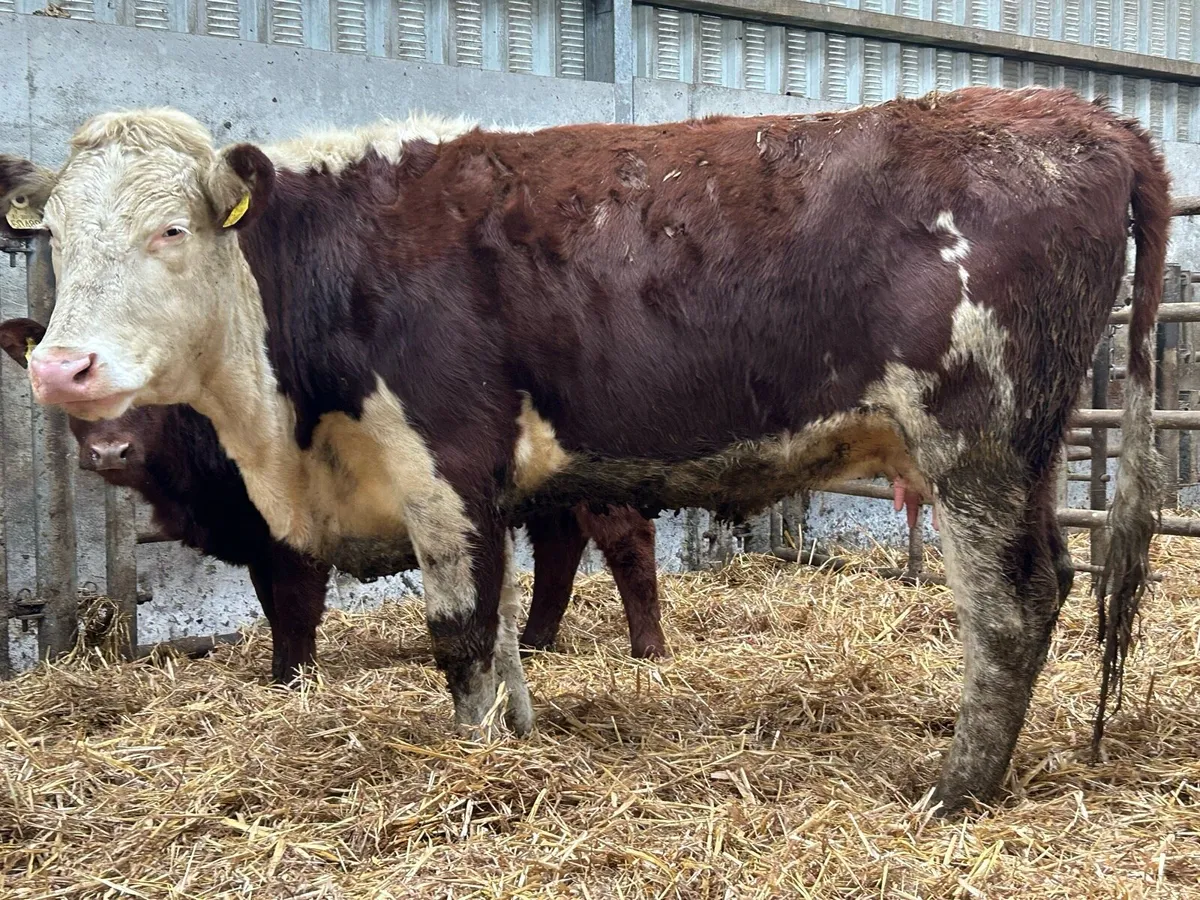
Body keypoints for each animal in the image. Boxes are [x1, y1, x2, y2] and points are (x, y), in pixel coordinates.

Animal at [0, 319, 668, 678]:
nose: (110, 450)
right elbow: (273, 609)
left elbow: (296, 610)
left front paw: (293, 682)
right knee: (560, 546)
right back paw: (535, 640)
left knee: (628, 544)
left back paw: (648, 650)